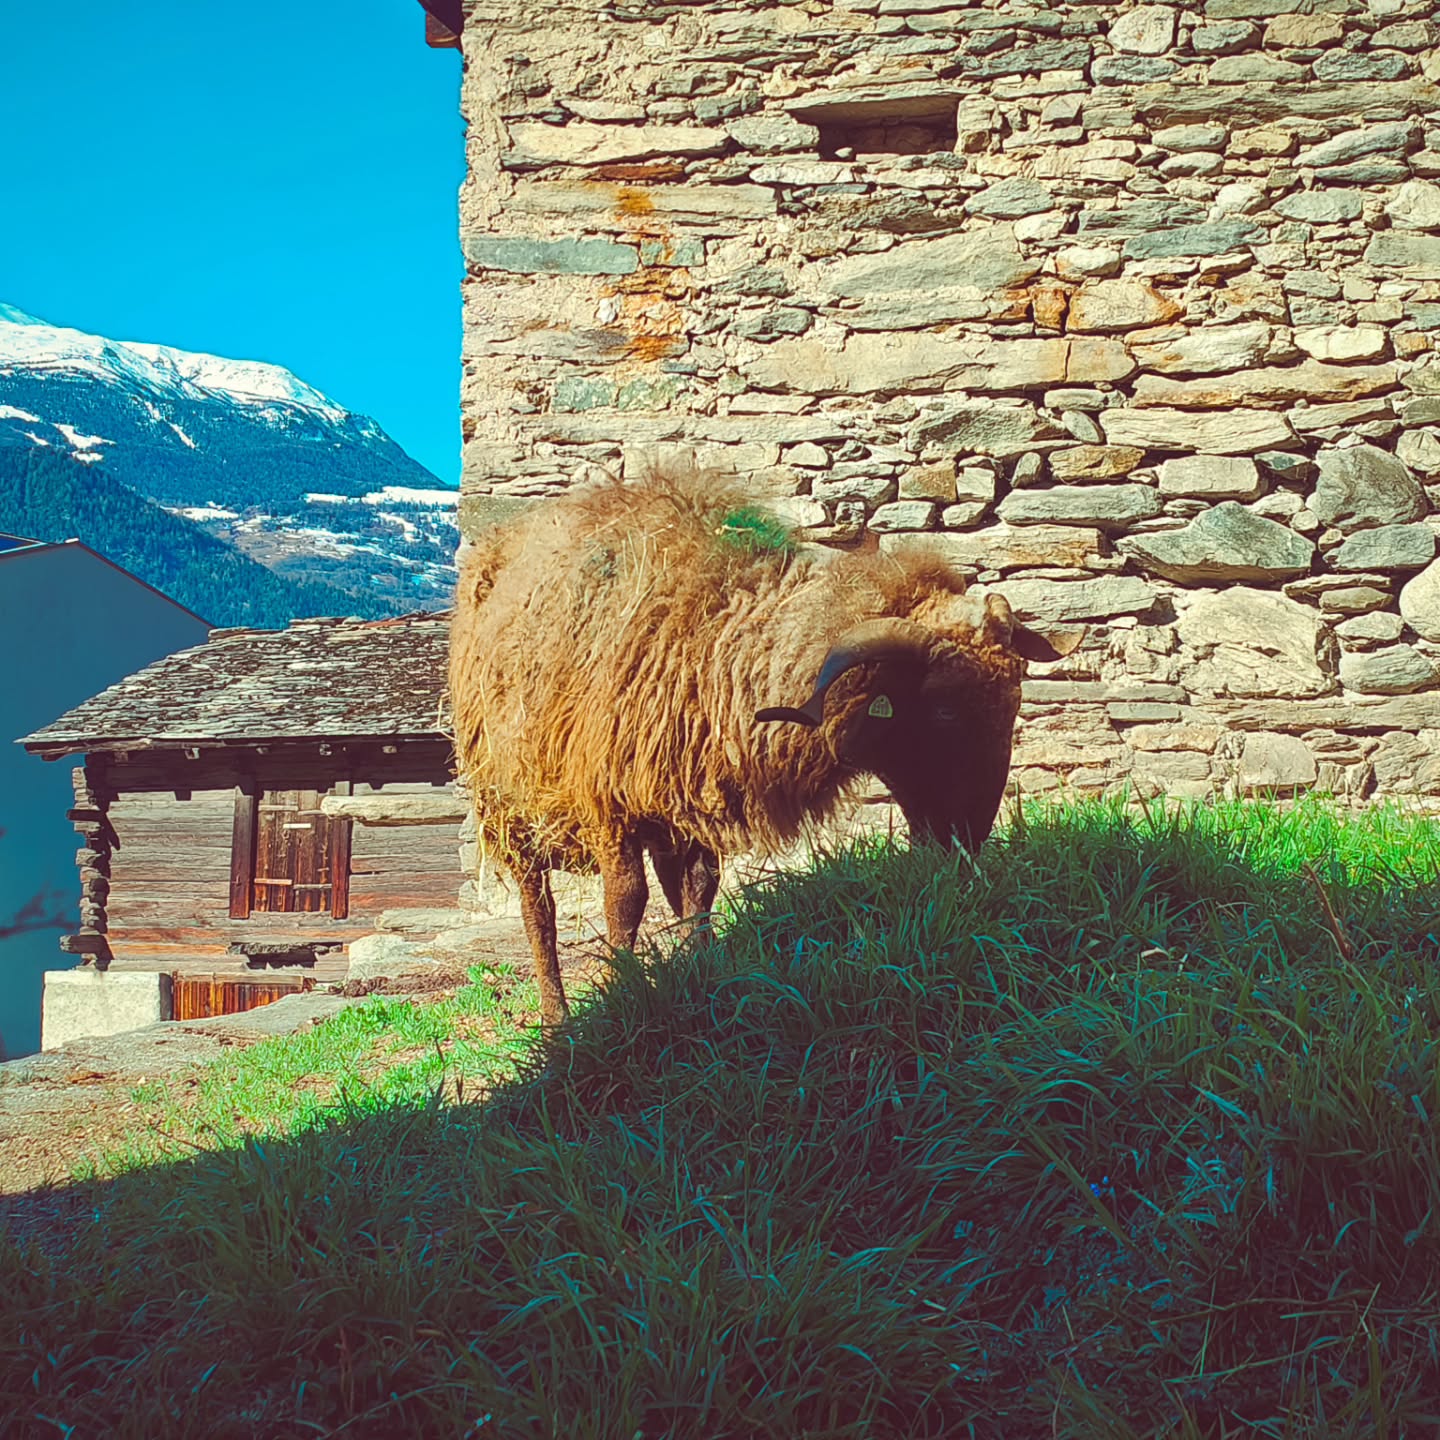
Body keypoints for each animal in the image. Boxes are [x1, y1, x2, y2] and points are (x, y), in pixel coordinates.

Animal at [449, 471, 1083, 1026]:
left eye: (1013, 701)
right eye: (944, 710)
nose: (967, 842)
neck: (715, 634)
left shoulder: (689, 792)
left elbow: (700, 892)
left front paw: (701, 978)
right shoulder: (609, 801)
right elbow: (625, 903)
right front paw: (617, 998)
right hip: (506, 803)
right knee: (539, 910)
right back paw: (556, 1018)